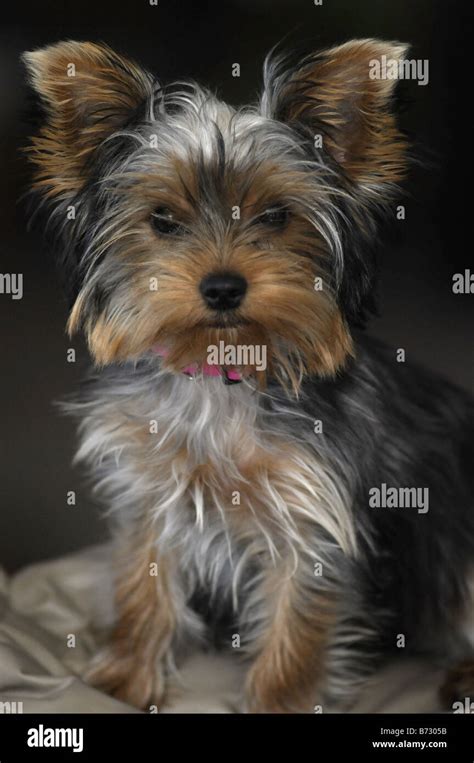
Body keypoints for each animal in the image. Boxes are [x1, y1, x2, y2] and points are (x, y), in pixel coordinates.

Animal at [23, 38, 474, 712]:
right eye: (162, 219)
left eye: (276, 217)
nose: (222, 288)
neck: (223, 369)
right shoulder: (149, 492)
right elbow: (142, 584)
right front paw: (123, 679)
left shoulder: (313, 515)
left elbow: (296, 628)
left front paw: (278, 701)